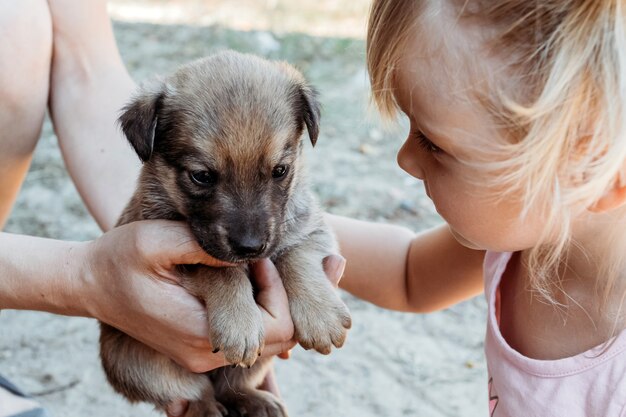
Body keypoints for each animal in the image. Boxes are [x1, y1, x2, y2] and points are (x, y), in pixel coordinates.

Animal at [98, 49, 352, 416]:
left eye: (280, 170)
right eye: (202, 176)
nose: (251, 247)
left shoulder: (310, 229)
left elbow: (297, 256)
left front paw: (321, 315)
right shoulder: (177, 254)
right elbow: (219, 271)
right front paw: (239, 322)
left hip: (261, 361)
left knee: (229, 386)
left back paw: (255, 401)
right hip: (135, 363)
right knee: (197, 392)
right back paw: (206, 409)